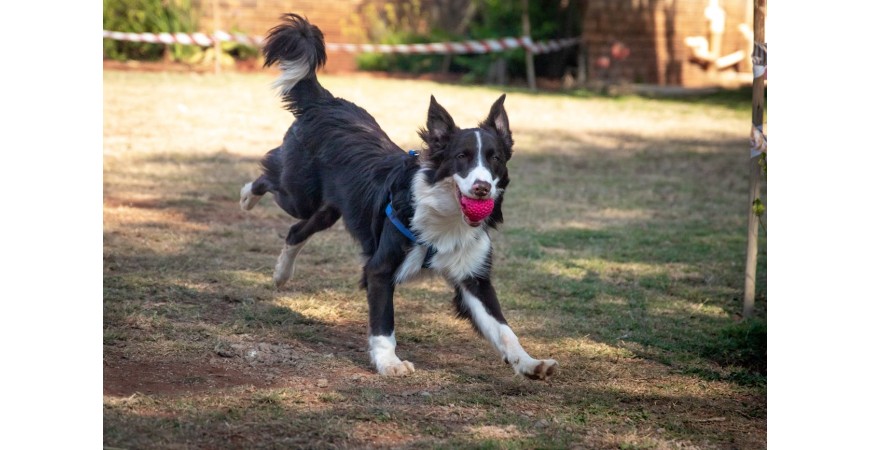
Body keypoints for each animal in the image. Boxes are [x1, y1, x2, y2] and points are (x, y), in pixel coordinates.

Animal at [240, 13, 560, 380]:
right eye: (461, 157)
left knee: (297, 230)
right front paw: (388, 362)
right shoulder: (380, 269)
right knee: (269, 177)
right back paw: (247, 197)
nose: (482, 188)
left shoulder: (473, 278)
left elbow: (503, 329)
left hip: (330, 208)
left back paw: (282, 275)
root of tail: (326, 102)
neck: (446, 216)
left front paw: (530, 363)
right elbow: (384, 323)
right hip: (299, 193)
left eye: (494, 158)